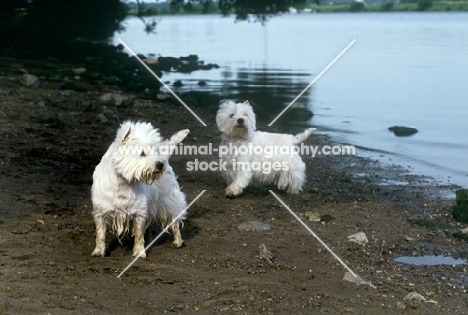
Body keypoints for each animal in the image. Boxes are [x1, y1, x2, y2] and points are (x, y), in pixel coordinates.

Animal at [90, 119, 189, 258]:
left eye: (155, 151)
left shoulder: (139, 212)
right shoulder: (101, 212)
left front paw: (139, 252)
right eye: (142, 153)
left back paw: (177, 241)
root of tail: (165, 157)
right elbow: (100, 233)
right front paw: (98, 251)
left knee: (174, 220)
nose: (160, 164)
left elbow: (138, 234)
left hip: (170, 200)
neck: (123, 183)